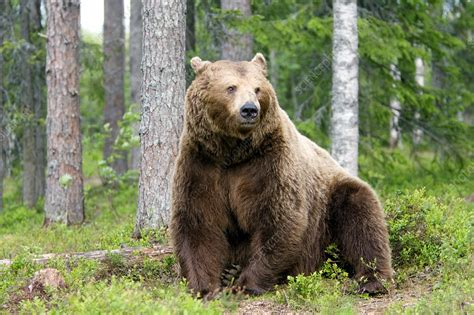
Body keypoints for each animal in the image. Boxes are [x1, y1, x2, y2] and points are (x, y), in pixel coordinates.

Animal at [170, 53, 392, 298]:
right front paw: (204, 286)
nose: (250, 109)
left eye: (257, 88)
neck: (233, 151)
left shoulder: (269, 163)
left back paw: (371, 280)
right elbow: (198, 221)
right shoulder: (202, 163)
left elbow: (278, 217)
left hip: (331, 201)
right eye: (231, 87)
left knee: (363, 220)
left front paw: (245, 284)